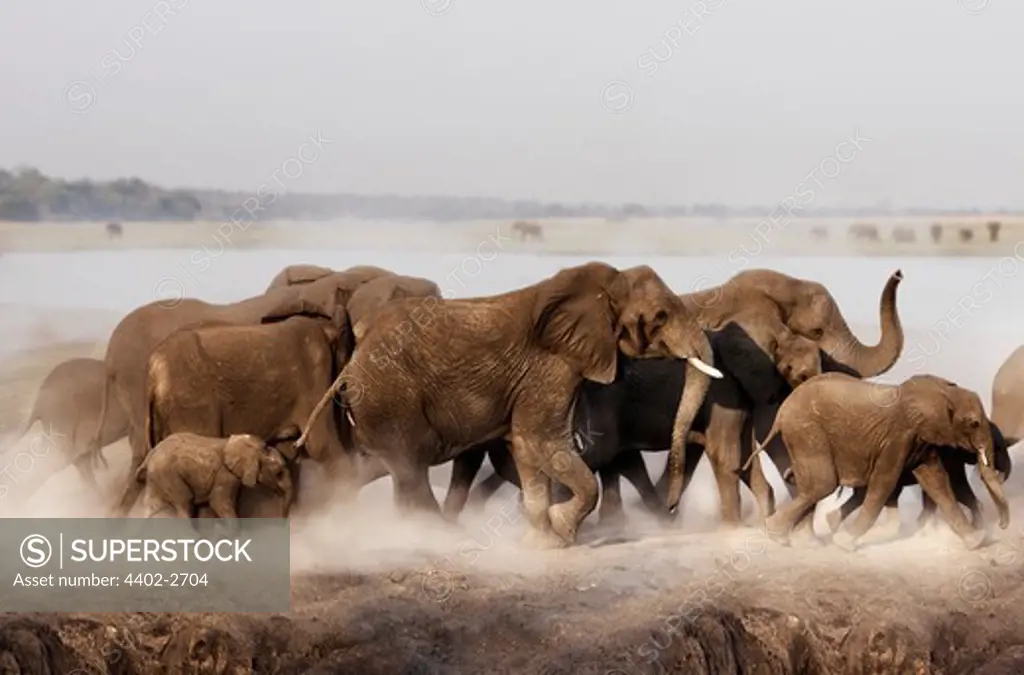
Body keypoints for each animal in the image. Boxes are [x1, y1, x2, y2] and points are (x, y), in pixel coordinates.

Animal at [135, 432, 292, 522]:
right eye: (278, 473)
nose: (283, 517)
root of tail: (151, 453)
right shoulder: (225, 475)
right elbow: (218, 502)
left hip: (158, 476)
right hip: (168, 473)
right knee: (185, 502)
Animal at [299, 260, 729, 549]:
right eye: (660, 316)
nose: (672, 508)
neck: (602, 288)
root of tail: (354, 360)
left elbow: (525, 448)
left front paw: (543, 541)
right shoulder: (550, 368)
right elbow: (541, 441)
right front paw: (562, 528)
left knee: (397, 470)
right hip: (391, 398)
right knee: (410, 467)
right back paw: (435, 535)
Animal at [745, 372, 1007, 553]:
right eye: (974, 423)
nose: (1003, 527)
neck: (943, 390)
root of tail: (781, 413)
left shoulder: (922, 439)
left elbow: (937, 483)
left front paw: (977, 541)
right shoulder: (898, 436)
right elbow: (884, 481)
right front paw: (845, 543)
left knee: (809, 484)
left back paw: (795, 538)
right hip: (806, 430)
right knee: (823, 483)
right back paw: (775, 532)